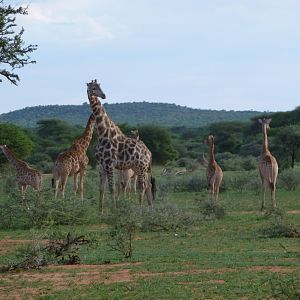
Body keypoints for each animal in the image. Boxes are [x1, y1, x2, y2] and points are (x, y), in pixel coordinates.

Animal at [85, 79, 154, 213]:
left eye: (99, 86)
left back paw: (140, 208)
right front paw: (100, 211)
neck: (102, 133)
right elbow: (101, 188)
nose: (104, 95)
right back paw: (149, 207)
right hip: (137, 167)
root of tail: (149, 152)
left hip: (142, 167)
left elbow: (112, 188)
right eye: (93, 88)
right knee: (147, 185)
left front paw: (114, 209)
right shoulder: (101, 165)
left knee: (142, 186)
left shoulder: (110, 163)